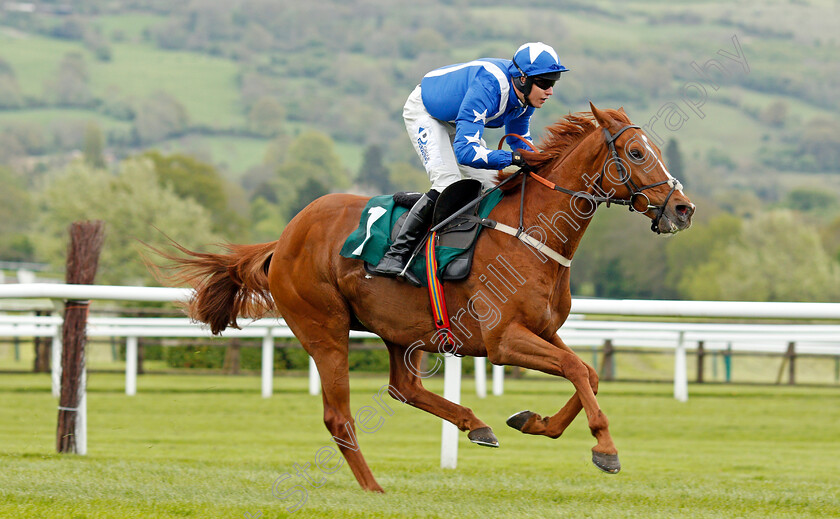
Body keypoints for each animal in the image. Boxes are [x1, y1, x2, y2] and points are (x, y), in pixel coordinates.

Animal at [158, 103, 696, 494]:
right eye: (637, 153)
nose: (683, 209)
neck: (532, 235)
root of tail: (285, 237)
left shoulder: (543, 330)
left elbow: (586, 372)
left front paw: (533, 422)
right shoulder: (503, 341)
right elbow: (577, 370)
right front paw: (605, 448)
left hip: (401, 330)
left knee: (404, 388)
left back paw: (475, 425)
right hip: (324, 328)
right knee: (339, 416)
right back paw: (373, 488)